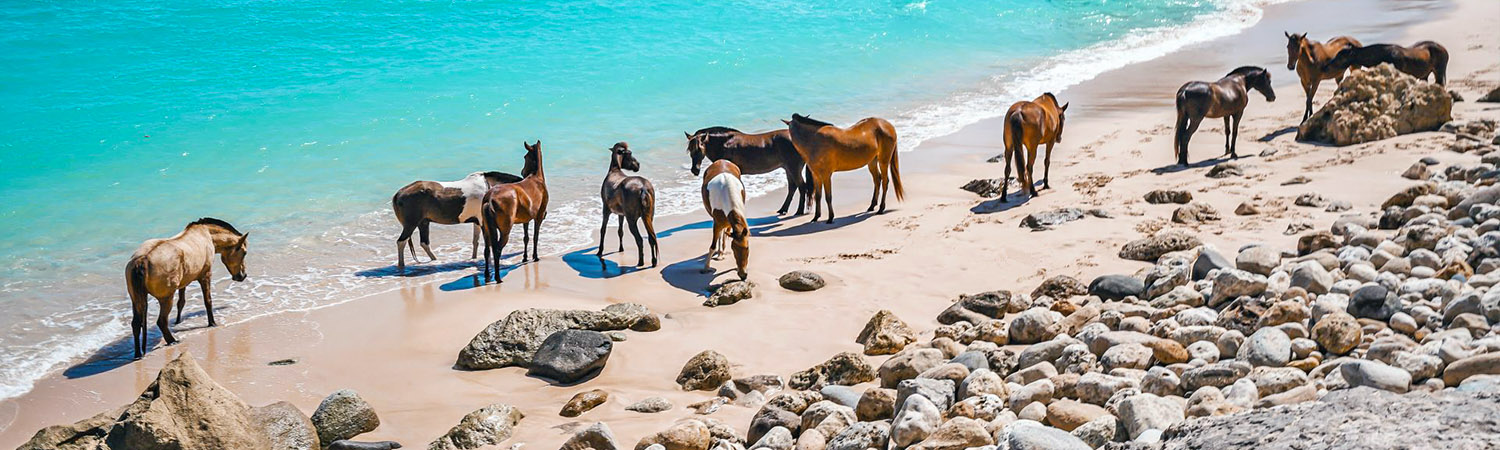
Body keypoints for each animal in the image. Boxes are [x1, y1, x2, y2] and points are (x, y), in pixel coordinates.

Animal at [125, 218, 249, 359]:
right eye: (244, 252)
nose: (242, 276)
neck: (207, 234)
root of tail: (142, 260)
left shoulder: (183, 283)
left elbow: (181, 303)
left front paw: (178, 321)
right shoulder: (205, 275)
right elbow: (208, 301)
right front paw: (212, 323)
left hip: (136, 300)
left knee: (136, 324)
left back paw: (138, 354)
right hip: (166, 298)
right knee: (161, 321)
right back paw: (172, 341)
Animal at [391, 170, 522, 272]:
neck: (489, 186)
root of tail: (398, 194)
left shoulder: (477, 222)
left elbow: (475, 241)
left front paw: (474, 259)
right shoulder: (483, 223)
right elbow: (487, 243)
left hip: (423, 222)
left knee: (424, 243)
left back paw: (435, 260)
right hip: (411, 224)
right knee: (401, 242)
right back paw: (401, 266)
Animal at [480, 141, 549, 283]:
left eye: (525, 156)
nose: (522, 172)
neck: (536, 178)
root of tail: (489, 198)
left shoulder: (526, 220)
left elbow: (526, 238)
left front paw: (524, 257)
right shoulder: (539, 217)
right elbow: (535, 237)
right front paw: (535, 256)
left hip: (486, 229)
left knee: (486, 250)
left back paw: (487, 275)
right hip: (505, 230)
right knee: (497, 250)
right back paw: (498, 277)